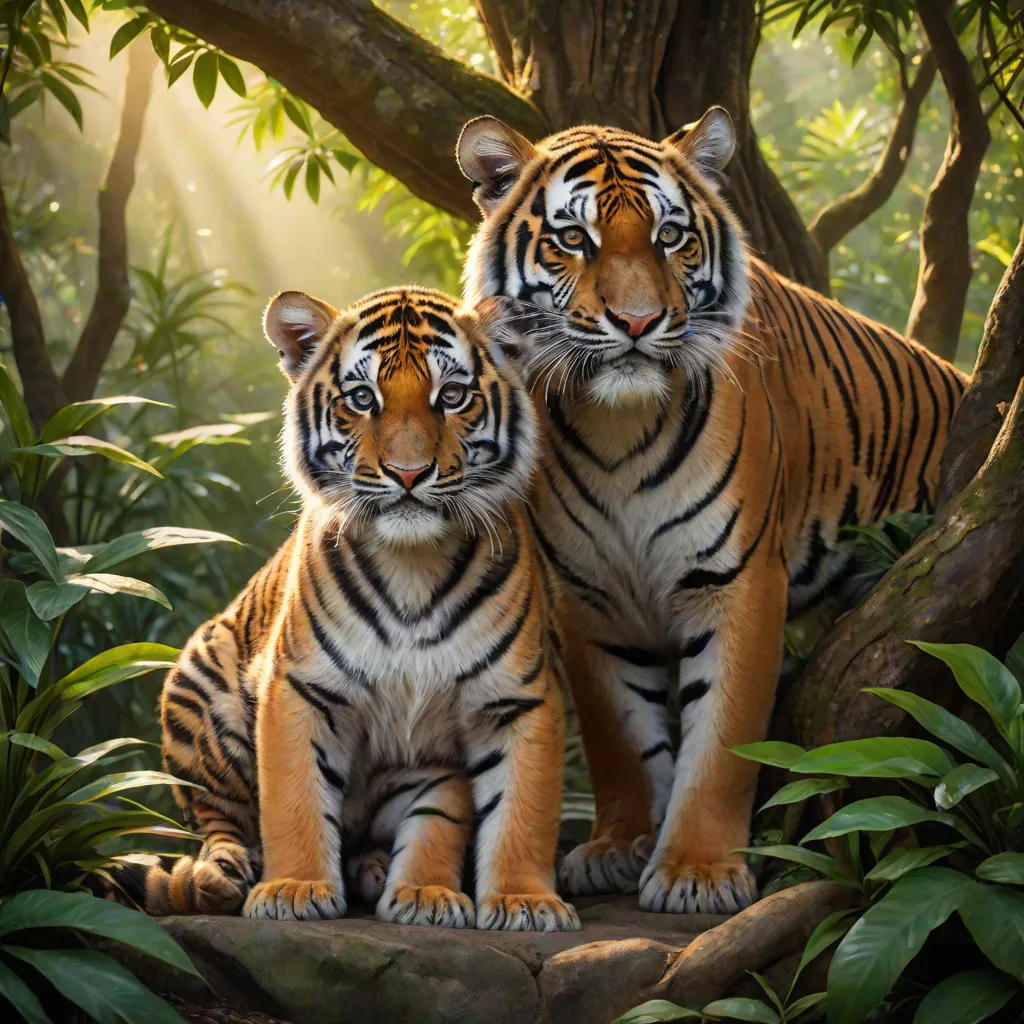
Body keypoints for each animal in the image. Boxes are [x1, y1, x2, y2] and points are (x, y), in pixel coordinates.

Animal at [116, 285, 579, 931]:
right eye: (363, 399)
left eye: (452, 396)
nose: (409, 473)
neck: (413, 566)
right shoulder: (299, 687)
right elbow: (294, 798)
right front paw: (292, 890)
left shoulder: (516, 699)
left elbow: (517, 810)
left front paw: (516, 901)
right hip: (200, 680)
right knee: (221, 822)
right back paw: (222, 875)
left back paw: (382, 873)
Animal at [455, 106, 968, 915]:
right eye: (574, 239)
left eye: (670, 236)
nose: (637, 322)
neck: (617, 428)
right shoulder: (586, 597)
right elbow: (620, 735)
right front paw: (620, 845)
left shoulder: (739, 579)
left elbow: (722, 738)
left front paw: (696, 870)